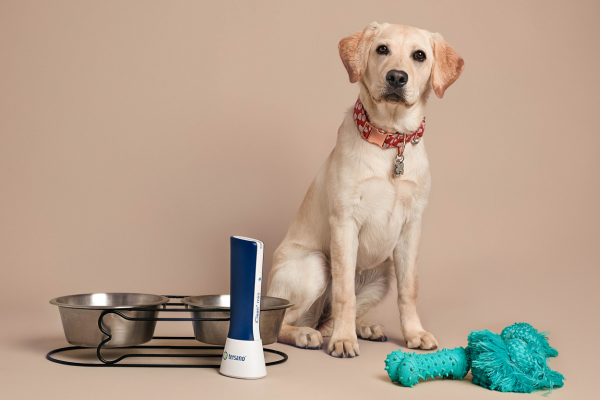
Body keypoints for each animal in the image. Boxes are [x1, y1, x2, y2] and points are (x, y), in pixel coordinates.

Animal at [268, 23, 464, 358]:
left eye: (420, 56)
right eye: (382, 49)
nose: (397, 77)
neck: (391, 141)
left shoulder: (411, 227)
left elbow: (409, 289)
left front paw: (414, 333)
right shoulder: (345, 222)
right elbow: (344, 290)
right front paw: (344, 340)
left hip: (381, 277)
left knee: (328, 319)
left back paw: (362, 327)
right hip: (315, 264)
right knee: (281, 322)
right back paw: (307, 334)